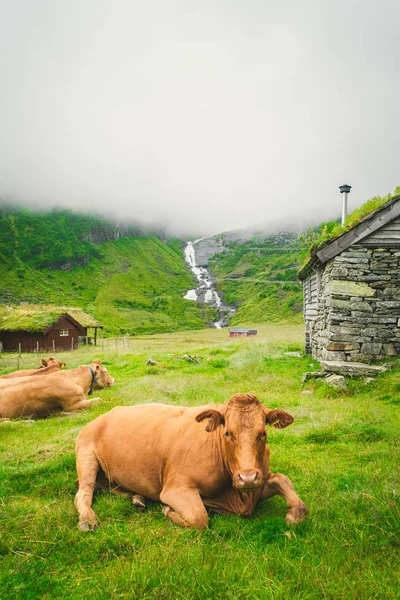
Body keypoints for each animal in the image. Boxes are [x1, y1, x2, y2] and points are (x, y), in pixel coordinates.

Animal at [75, 394, 306, 528]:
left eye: (263, 433)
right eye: (227, 433)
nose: (247, 478)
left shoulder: (259, 482)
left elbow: (283, 480)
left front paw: (294, 513)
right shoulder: (175, 488)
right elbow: (199, 518)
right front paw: (168, 511)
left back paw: (137, 498)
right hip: (86, 456)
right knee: (83, 492)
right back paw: (88, 519)